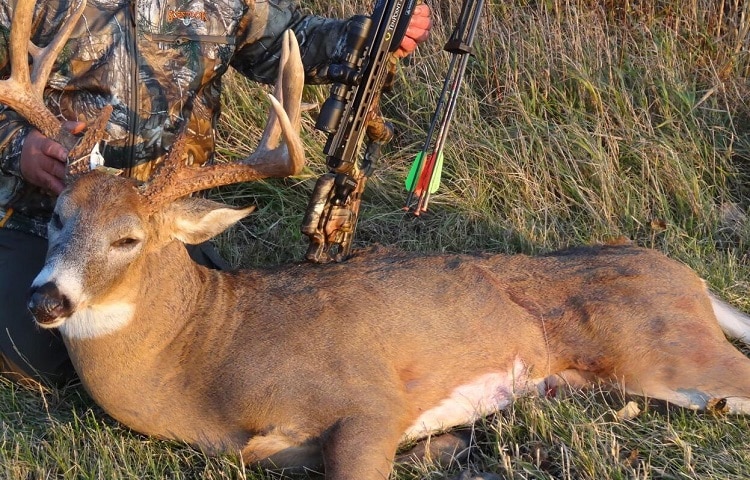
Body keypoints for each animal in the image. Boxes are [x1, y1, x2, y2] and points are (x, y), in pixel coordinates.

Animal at [8, 0, 750, 480]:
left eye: (129, 239)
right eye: (58, 215)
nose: (46, 300)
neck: (203, 356)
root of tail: (689, 277)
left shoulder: (367, 398)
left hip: (664, 349)